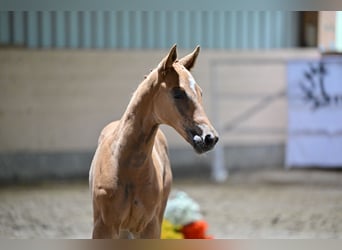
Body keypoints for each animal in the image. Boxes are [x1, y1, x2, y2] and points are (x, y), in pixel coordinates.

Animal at [89, 45, 218, 238]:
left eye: (200, 92)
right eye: (178, 93)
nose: (210, 138)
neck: (126, 167)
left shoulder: (149, 226)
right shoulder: (103, 226)